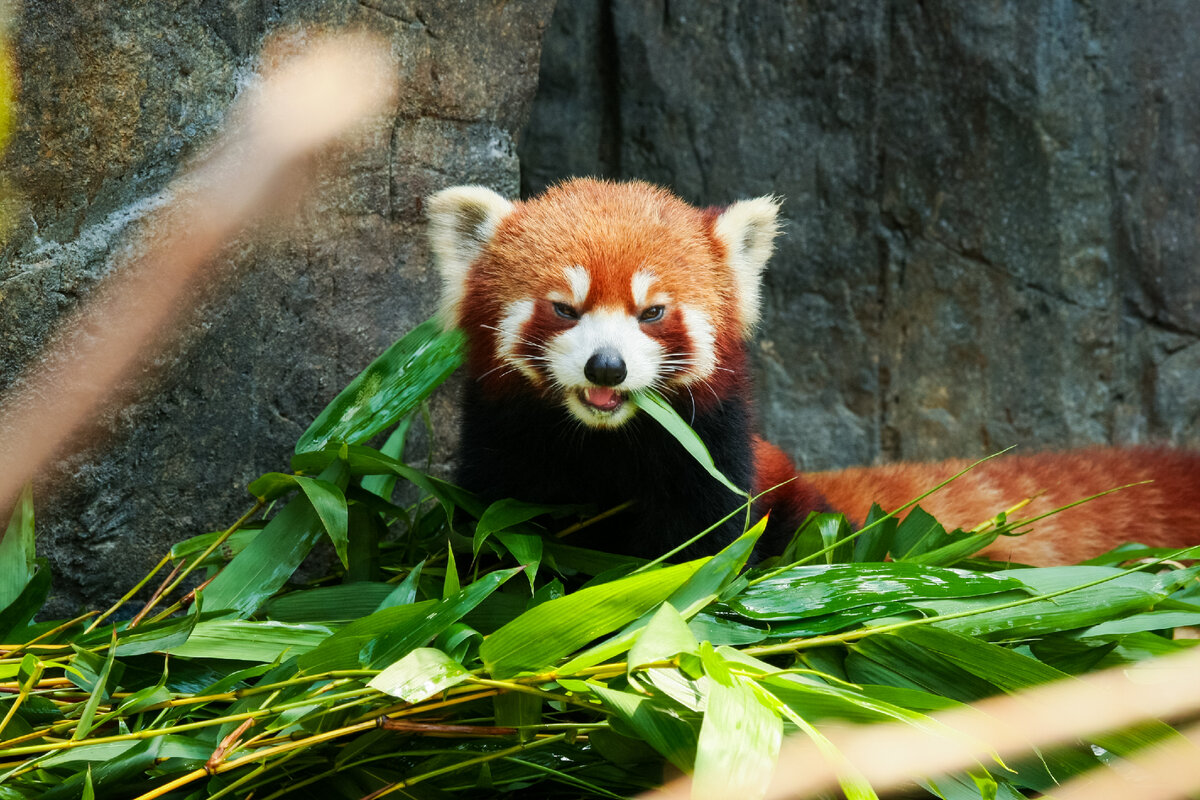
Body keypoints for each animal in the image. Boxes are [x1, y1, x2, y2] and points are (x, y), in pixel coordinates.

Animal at [427, 178, 1195, 566]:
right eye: (564, 307)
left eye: (652, 312)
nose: (607, 367)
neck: (602, 446)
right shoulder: (502, 465)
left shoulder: (713, 472)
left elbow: (701, 555)